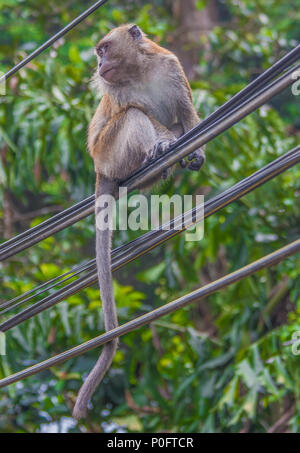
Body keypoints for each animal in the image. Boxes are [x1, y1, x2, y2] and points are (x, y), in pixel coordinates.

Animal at [72, 23, 205, 420]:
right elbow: (140, 112)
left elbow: (185, 112)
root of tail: (99, 169)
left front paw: (195, 151)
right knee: (132, 117)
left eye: (104, 50)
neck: (139, 70)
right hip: (110, 152)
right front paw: (164, 143)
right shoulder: (117, 92)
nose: (99, 64)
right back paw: (155, 153)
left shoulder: (171, 67)